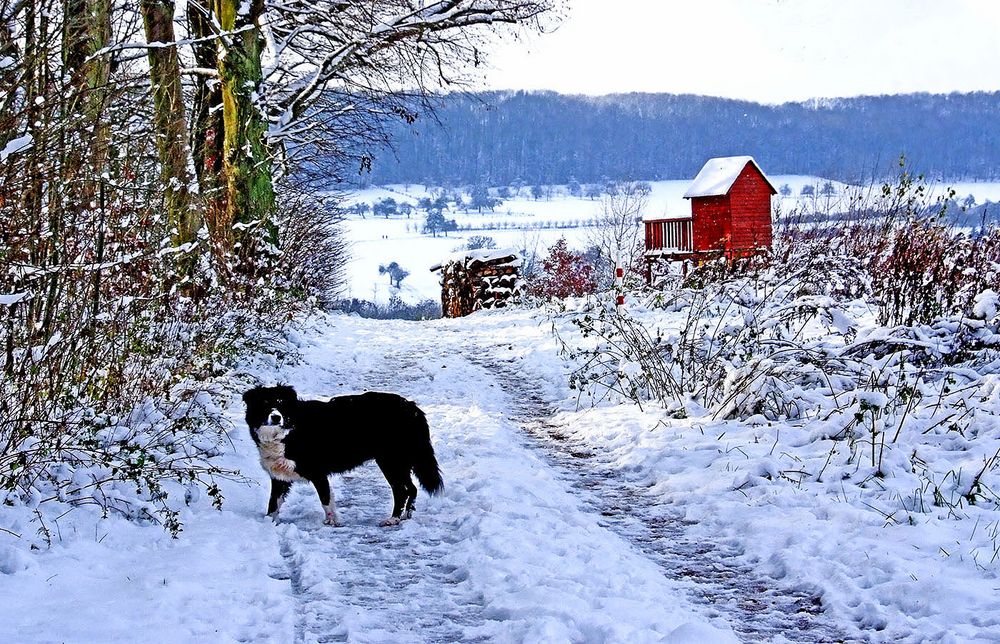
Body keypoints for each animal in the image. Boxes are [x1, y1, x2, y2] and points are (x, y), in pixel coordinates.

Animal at [240, 384, 444, 524]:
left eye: (281, 405)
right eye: (264, 404)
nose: (276, 417)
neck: (288, 431)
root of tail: (412, 407)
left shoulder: (318, 473)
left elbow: (325, 499)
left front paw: (332, 522)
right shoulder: (279, 477)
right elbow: (273, 504)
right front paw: (268, 523)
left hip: (390, 460)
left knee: (401, 490)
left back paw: (392, 519)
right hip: (398, 461)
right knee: (412, 488)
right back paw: (405, 516)